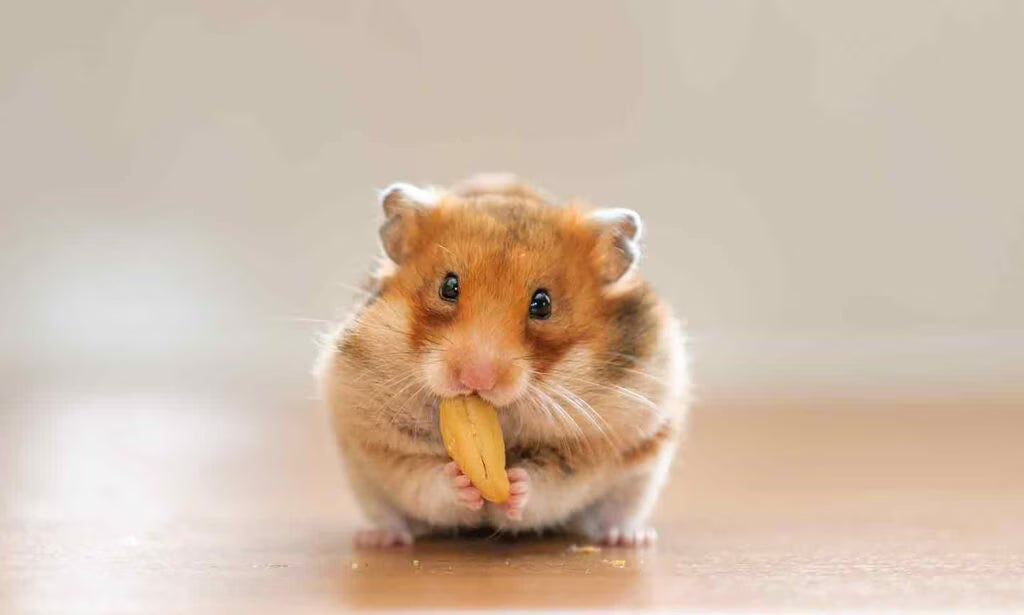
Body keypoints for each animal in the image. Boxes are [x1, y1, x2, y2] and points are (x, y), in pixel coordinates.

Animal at [316, 174, 689, 548]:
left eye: (543, 304)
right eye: (448, 287)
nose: (476, 379)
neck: (503, 417)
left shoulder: (596, 445)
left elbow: (551, 482)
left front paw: (515, 486)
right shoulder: (379, 441)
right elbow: (424, 478)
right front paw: (461, 481)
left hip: (642, 474)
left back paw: (629, 538)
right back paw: (378, 539)